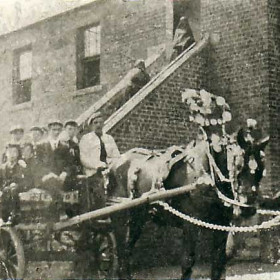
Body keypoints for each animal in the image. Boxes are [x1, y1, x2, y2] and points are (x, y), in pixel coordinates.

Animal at [107, 131, 270, 280]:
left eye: (261, 169)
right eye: (239, 165)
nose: (248, 207)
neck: (207, 174)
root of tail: (114, 165)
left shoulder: (221, 224)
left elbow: (218, 261)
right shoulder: (190, 223)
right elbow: (187, 261)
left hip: (137, 220)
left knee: (126, 252)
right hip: (121, 219)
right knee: (121, 254)